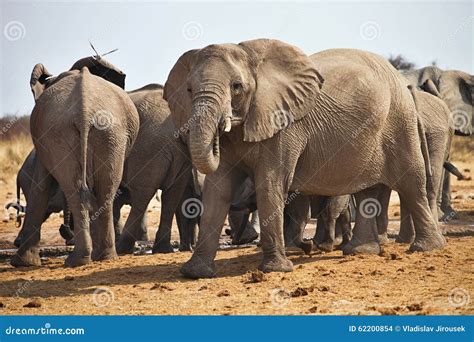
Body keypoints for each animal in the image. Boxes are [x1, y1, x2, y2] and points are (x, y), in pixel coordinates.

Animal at [11, 55, 139, 268]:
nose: (65, 230)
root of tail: (84, 111)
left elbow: (40, 186)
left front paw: (22, 263)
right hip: (107, 133)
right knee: (104, 188)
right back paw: (100, 257)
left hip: (68, 133)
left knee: (76, 190)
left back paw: (79, 260)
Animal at [165, 38, 446, 278]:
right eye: (188, 89)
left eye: (237, 87)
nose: (219, 128)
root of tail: (403, 81)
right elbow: (218, 190)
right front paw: (194, 273)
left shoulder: (284, 125)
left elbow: (270, 185)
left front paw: (276, 269)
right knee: (366, 189)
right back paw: (359, 251)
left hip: (399, 120)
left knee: (411, 182)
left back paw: (427, 248)